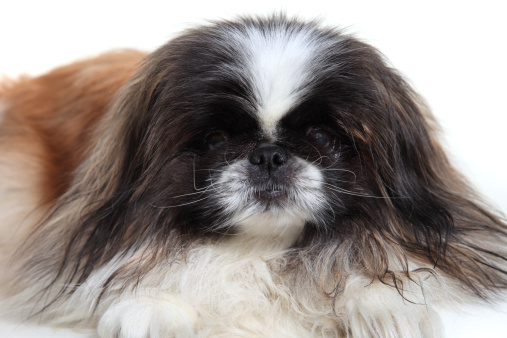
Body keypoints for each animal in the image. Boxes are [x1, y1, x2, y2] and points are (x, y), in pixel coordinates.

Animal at [0, 14, 507, 336]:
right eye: (216, 138)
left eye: (322, 137)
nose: (268, 156)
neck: (259, 246)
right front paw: (151, 307)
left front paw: (378, 299)